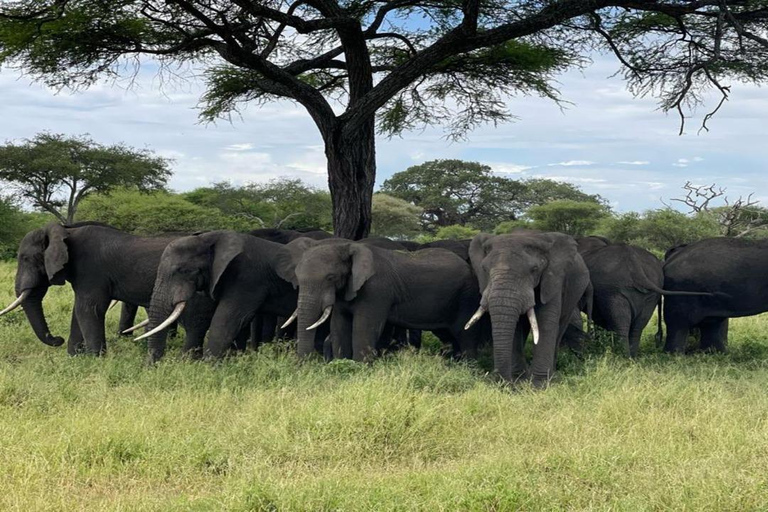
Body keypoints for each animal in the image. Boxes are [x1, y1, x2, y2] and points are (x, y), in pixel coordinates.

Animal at [0, 220, 213, 356]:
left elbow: (89, 308)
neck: (66, 231)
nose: (56, 339)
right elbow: (80, 310)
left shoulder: (91, 270)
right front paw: (74, 357)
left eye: (25, 258)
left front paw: (94, 359)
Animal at [142, 230, 320, 362]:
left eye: (184, 271)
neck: (209, 239)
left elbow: (227, 320)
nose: (154, 366)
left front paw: (208, 368)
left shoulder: (246, 277)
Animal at [282, 238, 484, 362]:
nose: (304, 365)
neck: (349, 245)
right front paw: (340, 365)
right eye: (297, 277)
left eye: (330, 277)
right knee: (448, 334)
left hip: (466, 296)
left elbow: (363, 329)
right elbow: (340, 326)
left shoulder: (376, 290)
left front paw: (359, 369)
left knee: (464, 334)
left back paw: (468, 368)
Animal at [464, 230, 592, 386]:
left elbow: (545, 323)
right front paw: (519, 381)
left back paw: (552, 374)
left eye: (534, 269)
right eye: (484, 269)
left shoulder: (553, 280)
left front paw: (538, 385)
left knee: (560, 327)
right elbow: (515, 327)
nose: (503, 384)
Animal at [576, 236, 708, 356]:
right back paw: (631, 357)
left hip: (613, 291)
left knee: (622, 325)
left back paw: (622, 357)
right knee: (638, 326)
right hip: (649, 292)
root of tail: (634, 265)